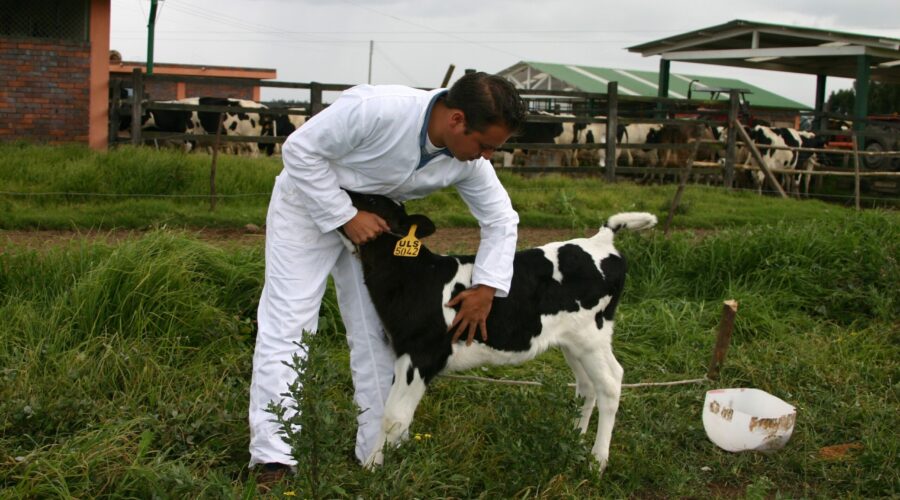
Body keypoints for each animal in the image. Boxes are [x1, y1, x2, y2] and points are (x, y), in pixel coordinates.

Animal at [342, 191, 656, 472]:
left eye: (371, 199)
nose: (344, 192)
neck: (415, 276)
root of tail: (599, 240)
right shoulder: (402, 352)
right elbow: (396, 415)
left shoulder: (421, 354)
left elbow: (392, 417)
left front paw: (373, 469)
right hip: (572, 341)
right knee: (587, 386)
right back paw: (575, 442)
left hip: (592, 336)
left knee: (611, 383)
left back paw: (597, 461)